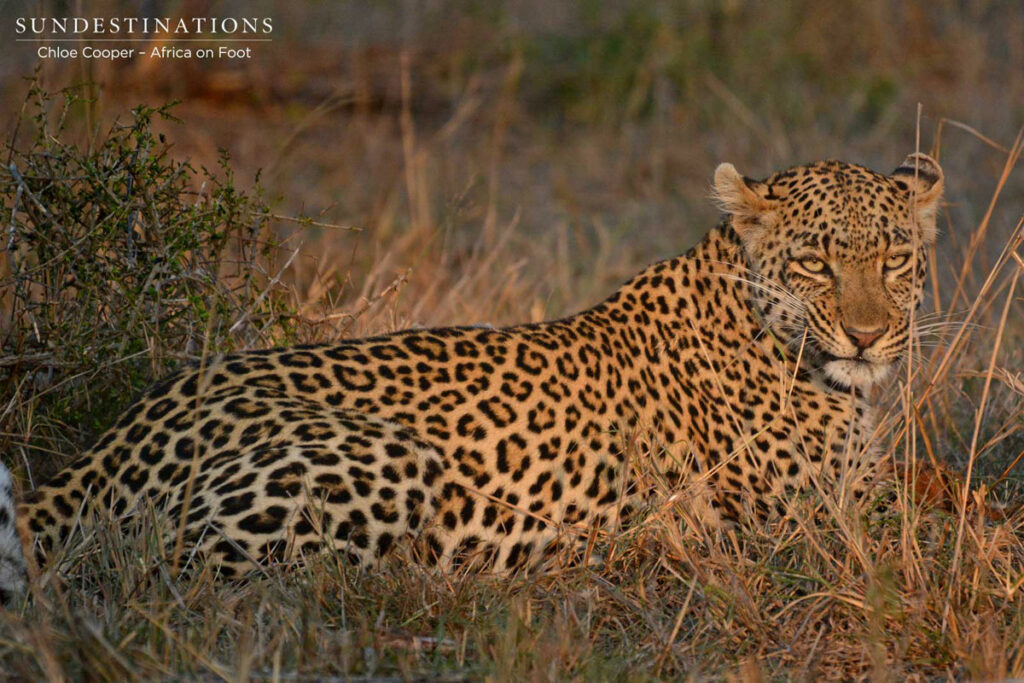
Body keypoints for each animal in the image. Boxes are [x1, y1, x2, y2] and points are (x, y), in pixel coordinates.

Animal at [0, 153, 946, 602]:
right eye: (818, 263)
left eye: (897, 260)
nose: (868, 336)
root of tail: (124, 433)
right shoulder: (816, 519)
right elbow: (940, 513)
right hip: (382, 465)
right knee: (193, 576)